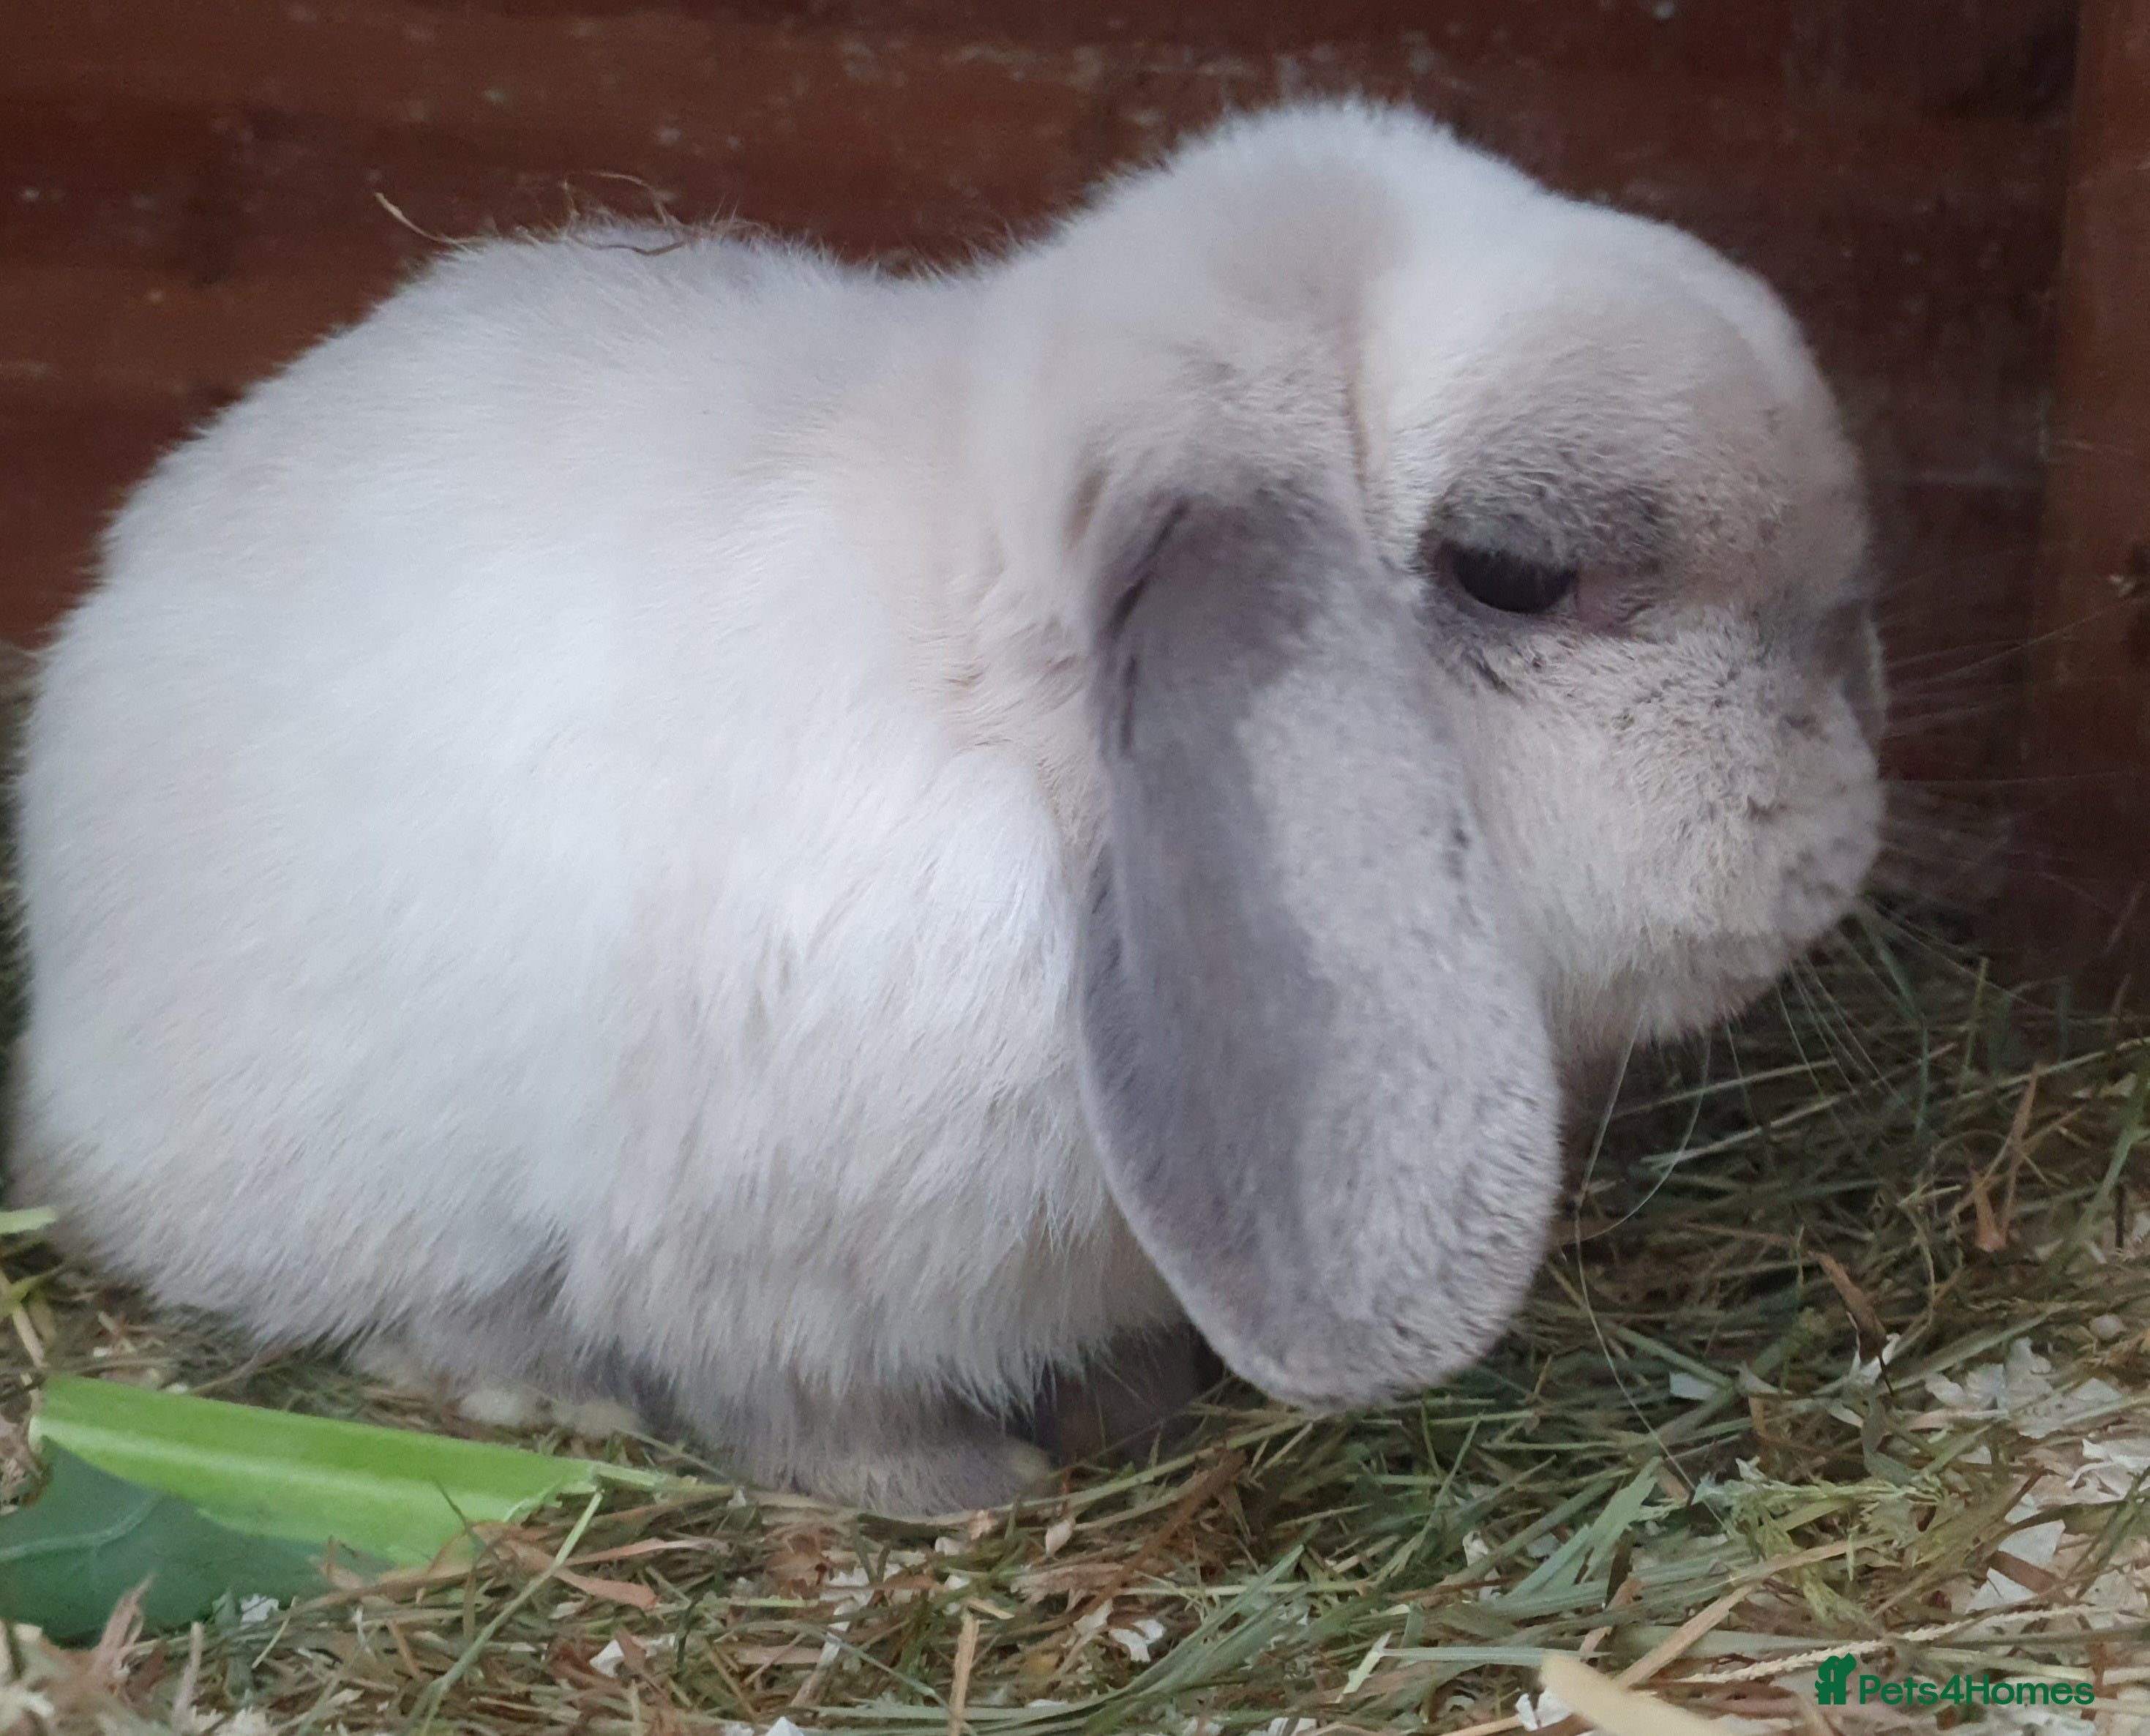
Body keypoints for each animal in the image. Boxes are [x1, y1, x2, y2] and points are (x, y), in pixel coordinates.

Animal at [9, 100, 1883, 1517]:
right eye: (1513, 572)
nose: (1849, 797)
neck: (1027, 743)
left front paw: (1130, 1404)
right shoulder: (758, 1265)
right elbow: (798, 1405)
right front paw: (965, 1492)